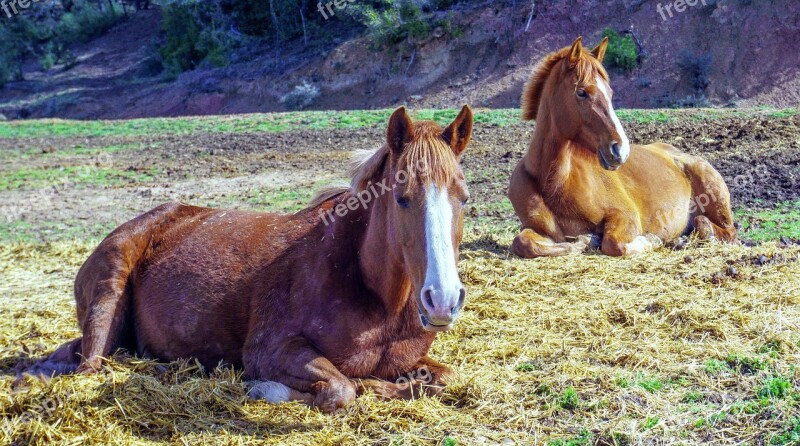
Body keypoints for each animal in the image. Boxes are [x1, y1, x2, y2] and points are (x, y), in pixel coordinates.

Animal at [36, 104, 476, 412]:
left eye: (464, 198)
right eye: (402, 198)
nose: (442, 300)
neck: (376, 296)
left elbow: (444, 376)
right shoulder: (271, 350)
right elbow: (342, 388)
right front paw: (266, 387)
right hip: (107, 299)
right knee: (91, 366)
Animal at [510, 37, 736, 258]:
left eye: (610, 93)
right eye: (581, 92)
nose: (620, 150)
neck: (555, 182)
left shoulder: (624, 215)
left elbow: (614, 244)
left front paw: (650, 240)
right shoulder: (537, 229)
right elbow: (522, 242)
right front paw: (584, 241)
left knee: (722, 230)